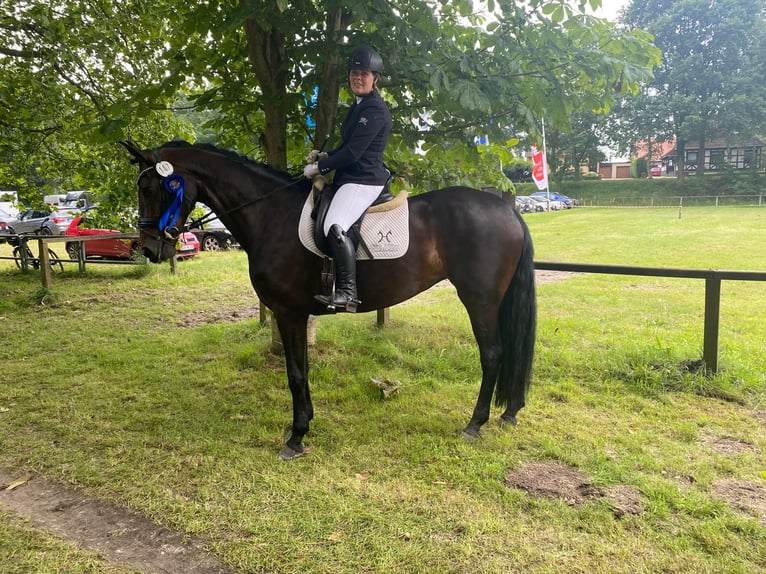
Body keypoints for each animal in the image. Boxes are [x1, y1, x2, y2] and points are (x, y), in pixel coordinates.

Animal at [121, 141, 540, 464]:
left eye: (150, 188)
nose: (149, 249)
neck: (271, 214)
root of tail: (507, 210)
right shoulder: (296, 314)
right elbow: (302, 370)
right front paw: (304, 425)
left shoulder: (289, 313)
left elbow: (295, 374)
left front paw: (295, 437)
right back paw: (508, 412)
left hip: (479, 299)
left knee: (493, 354)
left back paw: (475, 424)